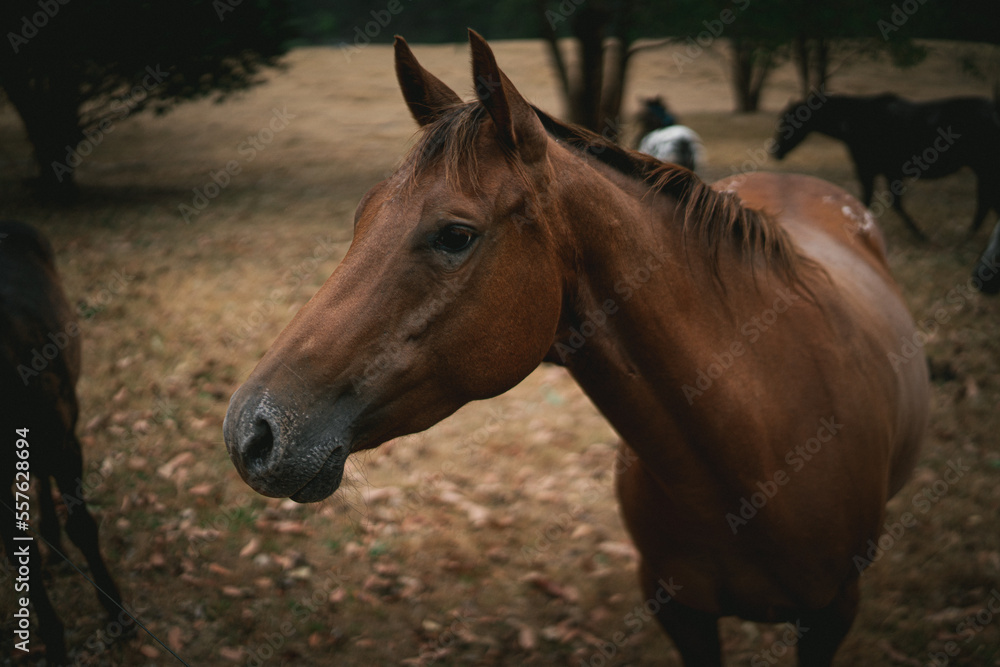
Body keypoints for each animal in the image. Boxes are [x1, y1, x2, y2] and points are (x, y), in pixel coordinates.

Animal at [224, 31, 930, 666]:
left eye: (455, 235)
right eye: (362, 216)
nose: (250, 433)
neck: (757, 442)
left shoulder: (831, 615)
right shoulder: (682, 613)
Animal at [772, 92, 1000, 241]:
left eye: (789, 120)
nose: (775, 151)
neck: (856, 120)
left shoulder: (872, 171)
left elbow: (874, 202)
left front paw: (920, 235)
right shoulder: (888, 173)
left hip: (984, 169)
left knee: (986, 201)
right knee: (988, 201)